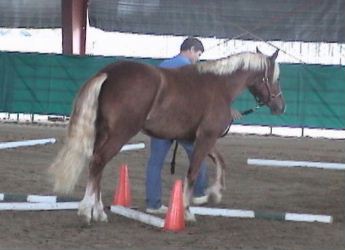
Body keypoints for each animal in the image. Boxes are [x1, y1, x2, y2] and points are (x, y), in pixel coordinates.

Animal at [48, 48, 284, 223]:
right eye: (274, 78)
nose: (280, 106)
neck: (219, 86)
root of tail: (108, 73)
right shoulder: (206, 136)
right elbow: (193, 171)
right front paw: (186, 209)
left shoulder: (193, 139)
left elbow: (219, 161)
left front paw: (214, 192)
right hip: (120, 134)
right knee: (98, 162)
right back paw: (89, 211)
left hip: (103, 133)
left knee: (98, 165)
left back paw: (97, 210)